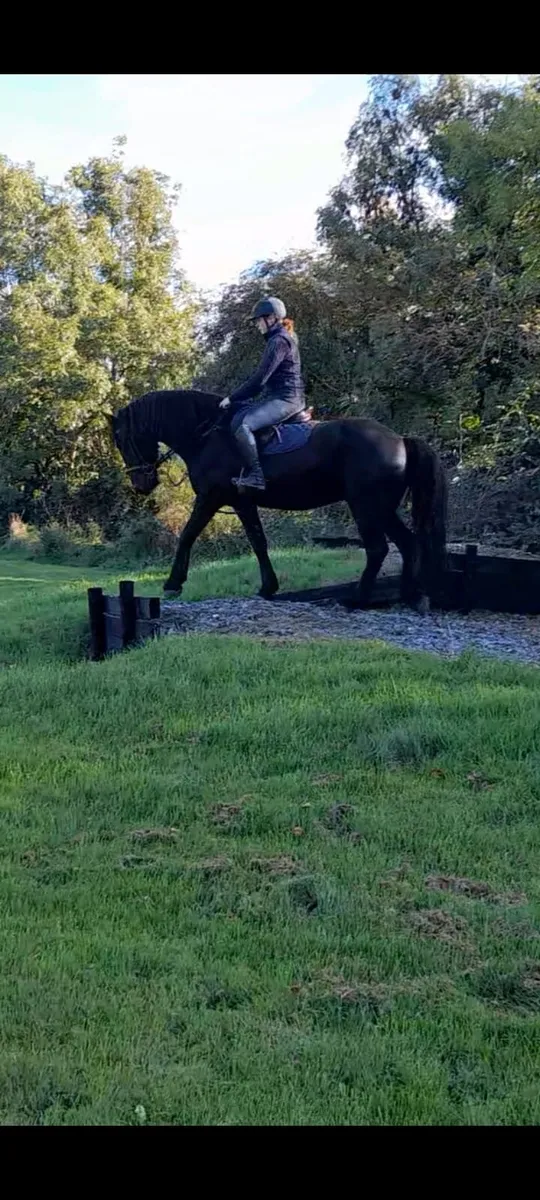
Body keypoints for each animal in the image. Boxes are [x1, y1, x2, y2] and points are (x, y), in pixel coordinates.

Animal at [111, 388, 448, 609]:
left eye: (122, 439)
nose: (141, 484)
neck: (206, 437)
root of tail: (399, 439)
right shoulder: (242, 503)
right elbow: (258, 542)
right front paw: (268, 588)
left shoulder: (211, 498)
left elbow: (188, 535)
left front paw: (172, 584)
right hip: (382, 509)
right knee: (408, 543)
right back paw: (407, 595)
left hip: (366, 507)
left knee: (378, 548)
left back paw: (358, 599)